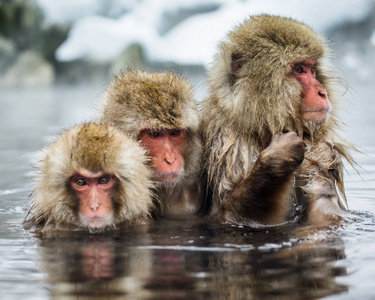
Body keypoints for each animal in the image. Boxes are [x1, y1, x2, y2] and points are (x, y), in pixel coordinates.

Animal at [201, 13, 356, 225]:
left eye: (313, 70)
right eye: (299, 69)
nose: (322, 92)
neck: (262, 128)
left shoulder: (319, 153)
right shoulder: (228, 147)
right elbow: (228, 216)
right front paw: (277, 158)